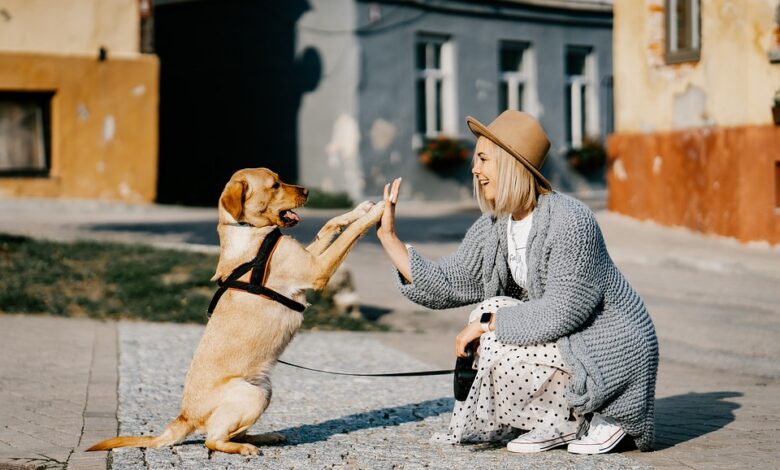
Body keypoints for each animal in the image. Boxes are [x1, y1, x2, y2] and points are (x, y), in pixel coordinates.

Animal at [87, 168, 386, 456]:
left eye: (280, 179)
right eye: (275, 185)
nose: (308, 191)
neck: (249, 232)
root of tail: (184, 417)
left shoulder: (309, 257)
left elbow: (330, 224)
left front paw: (361, 208)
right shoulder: (316, 269)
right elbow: (350, 234)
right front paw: (378, 211)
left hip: (264, 390)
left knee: (231, 433)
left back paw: (264, 437)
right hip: (252, 395)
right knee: (212, 440)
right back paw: (244, 448)